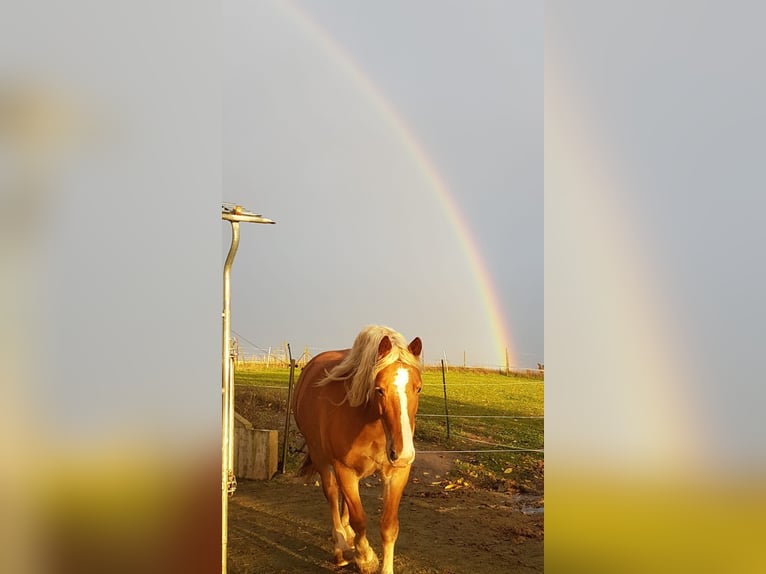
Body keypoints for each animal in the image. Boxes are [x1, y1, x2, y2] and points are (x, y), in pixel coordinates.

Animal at [294, 328, 426, 574]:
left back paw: (347, 535)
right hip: (322, 459)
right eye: (379, 390)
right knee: (332, 494)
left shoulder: (397, 474)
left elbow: (388, 526)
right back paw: (341, 546)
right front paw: (365, 559)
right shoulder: (343, 469)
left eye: (418, 388)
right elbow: (360, 520)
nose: (402, 453)